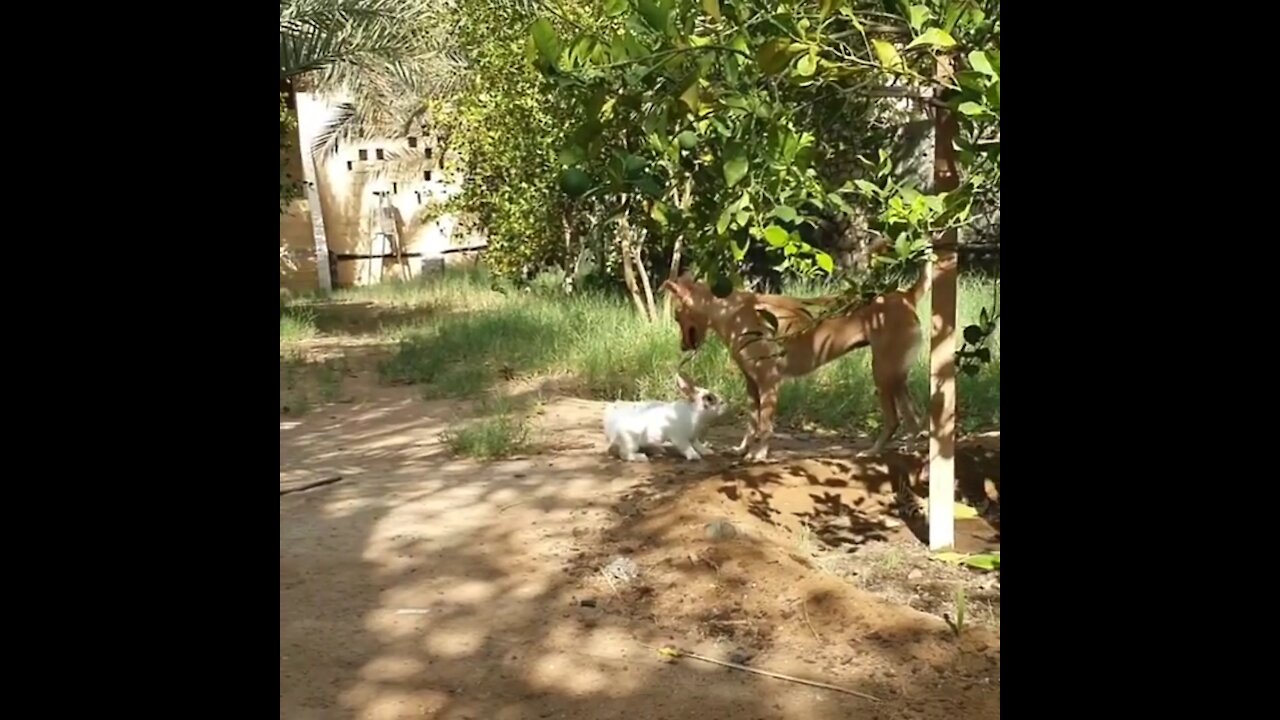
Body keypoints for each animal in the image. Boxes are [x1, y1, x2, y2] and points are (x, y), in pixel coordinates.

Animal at [660, 262, 931, 458]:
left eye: (676, 316)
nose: (682, 347)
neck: (731, 312)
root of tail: (905, 296)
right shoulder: (752, 384)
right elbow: (751, 423)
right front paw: (743, 449)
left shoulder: (768, 381)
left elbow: (765, 425)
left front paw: (758, 455)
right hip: (895, 376)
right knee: (914, 418)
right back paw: (909, 449)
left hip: (883, 374)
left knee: (895, 419)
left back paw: (874, 451)